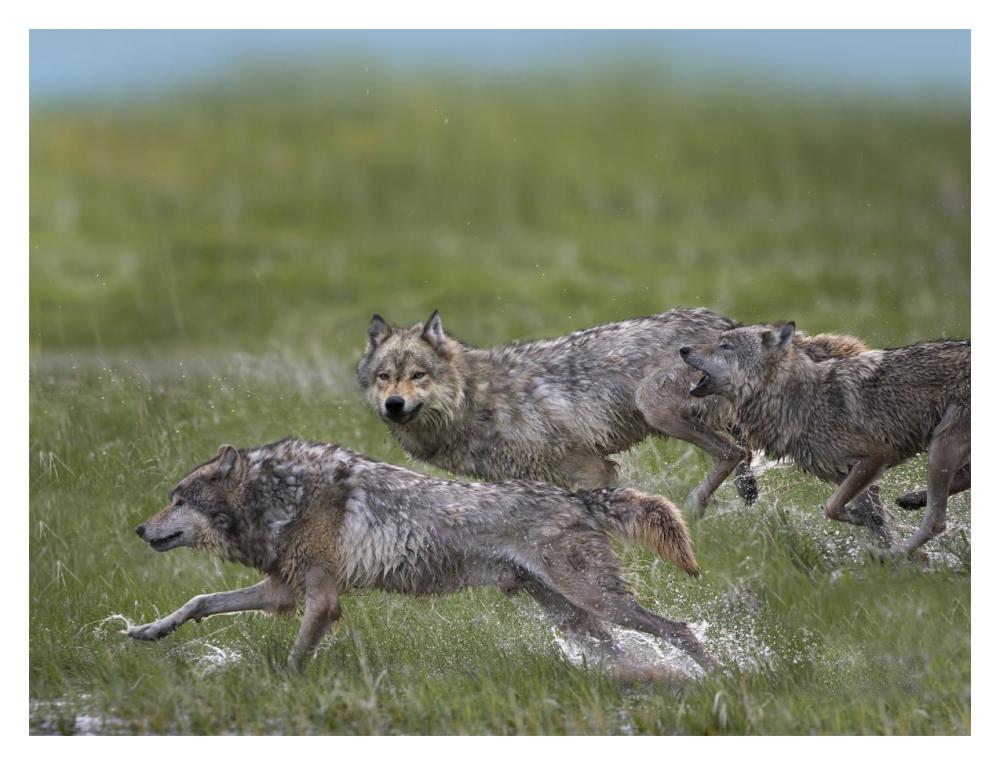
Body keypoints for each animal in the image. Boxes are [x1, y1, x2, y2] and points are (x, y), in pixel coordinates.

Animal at [128, 438, 721, 674]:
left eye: (178, 500)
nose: (137, 528)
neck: (281, 495)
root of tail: (575, 497)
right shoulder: (282, 590)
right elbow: (200, 601)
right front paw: (148, 631)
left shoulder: (321, 600)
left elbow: (295, 659)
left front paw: (282, 689)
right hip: (573, 616)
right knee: (623, 652)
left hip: (596, 601)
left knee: (678, 630)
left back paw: (722, 676)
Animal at [357, 309, 870, 513]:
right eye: (385, 377)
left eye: (418, 375)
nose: (394, 404)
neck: (477, 400)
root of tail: (727, 324)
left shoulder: (592, 467)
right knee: (740, 454)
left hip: (655, 406)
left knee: (732, 454)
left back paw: (696, 507)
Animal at [679, 323, 970, 555]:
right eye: (719, 340)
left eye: (725, 345)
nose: (682, 349)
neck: (800, 401)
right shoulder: (849, 474)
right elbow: (871, 519)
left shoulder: (878, 455)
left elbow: (832, 507)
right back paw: (911, 501)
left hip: (940, 448)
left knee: (936, 520)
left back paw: (893, 553)